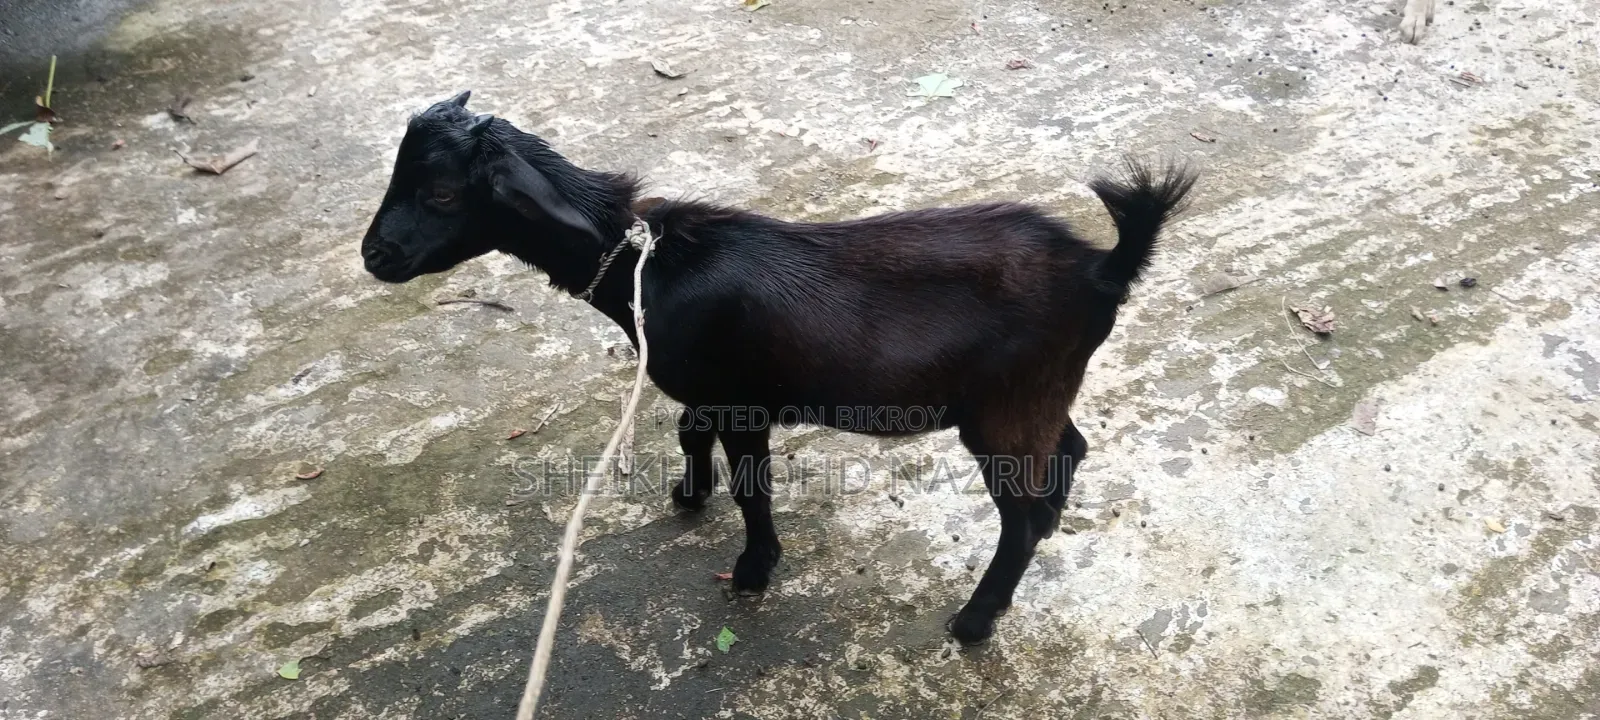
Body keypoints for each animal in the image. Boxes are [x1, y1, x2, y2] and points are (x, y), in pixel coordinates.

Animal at [360, 91, 1197, 645]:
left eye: (441, 191)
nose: (375, 255)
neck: (643, 263)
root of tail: (1103, 267)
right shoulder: (711, 387)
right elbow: (687, 431)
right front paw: (687, 495)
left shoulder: (741, 403)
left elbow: (750, 487)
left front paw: (754, 569)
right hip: (1040, 388)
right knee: (1070, 448)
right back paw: (1052, 519)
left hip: (1003, 407)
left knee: (1018, 519)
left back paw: (974, 618)